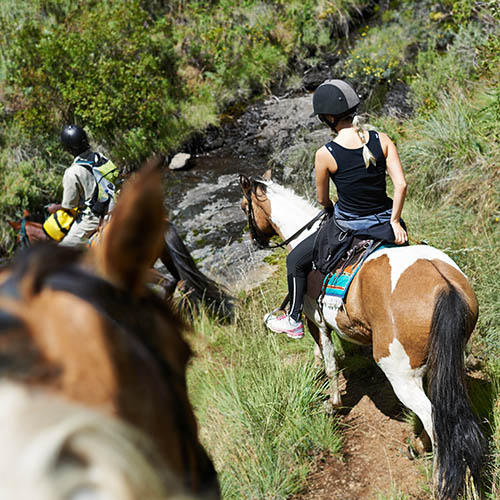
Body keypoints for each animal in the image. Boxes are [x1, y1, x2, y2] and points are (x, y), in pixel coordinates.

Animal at [240, 174, 486, 500]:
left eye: (245, 207)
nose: (255, 240)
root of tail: (444, 284)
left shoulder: (316, 321)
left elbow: (330, 364)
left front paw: (332, 404)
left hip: (399, 374)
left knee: (433, 418)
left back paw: (437, 477)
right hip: (446, 364)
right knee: (445, 413)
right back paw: (421, 447)